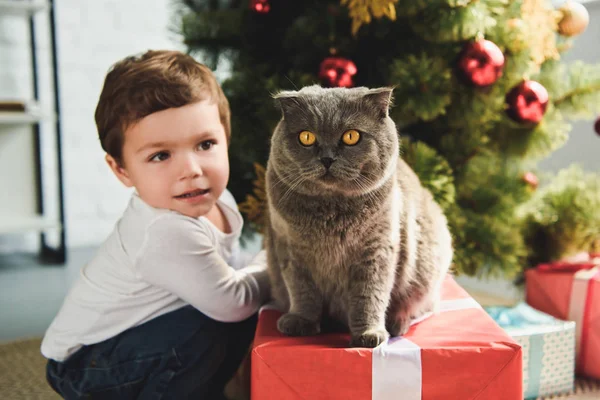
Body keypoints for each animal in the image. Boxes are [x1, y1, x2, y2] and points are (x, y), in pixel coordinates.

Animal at [264, 86, 452, 348]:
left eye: (351, 136)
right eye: (306, 137)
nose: (327, 158)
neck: (330, 215)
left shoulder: (377, 250)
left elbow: (369, 295)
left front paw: (369, 334)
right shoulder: (289, 249)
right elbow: (302, 291)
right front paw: (300, 322)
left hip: (428, 265)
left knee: (420, 306)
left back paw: (397, 323)